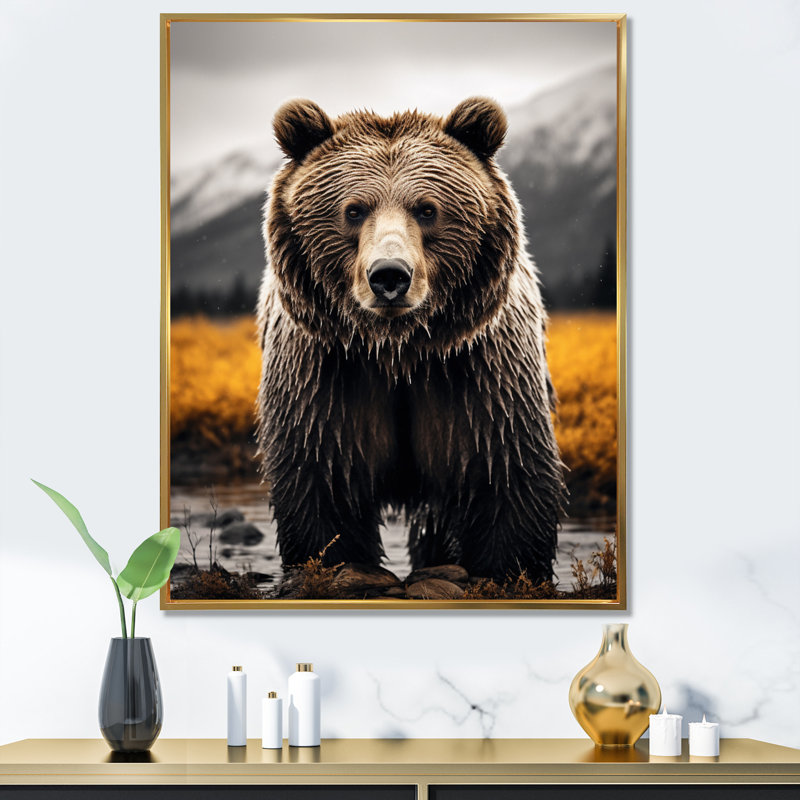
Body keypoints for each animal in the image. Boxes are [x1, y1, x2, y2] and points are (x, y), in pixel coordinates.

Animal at [256, 97, 566, 586]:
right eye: (354, 210)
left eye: (426, 209)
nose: (389, 276)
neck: (398, 350)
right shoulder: (325, 374)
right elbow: (322, 478)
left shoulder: (479, 372)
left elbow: (504, 471)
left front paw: (508, 569)